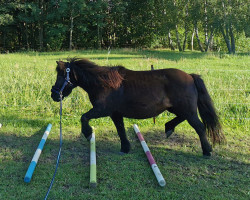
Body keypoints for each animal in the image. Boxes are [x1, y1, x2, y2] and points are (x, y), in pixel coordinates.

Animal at [50, 57, 225, 156]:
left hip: (188, 110)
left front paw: (87, 133)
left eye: (61, 75)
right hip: (178, 109)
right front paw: (125, 148)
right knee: (182, 119)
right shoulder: (115, 114)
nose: (54, 94)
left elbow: (84, 117)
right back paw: (169, 127)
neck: (103, 83)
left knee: (200, 127)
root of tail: (190, 76)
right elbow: (120, 130)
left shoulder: (102, 110)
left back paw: (207, 151)